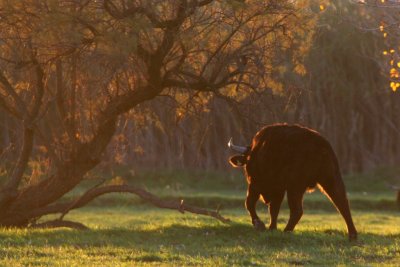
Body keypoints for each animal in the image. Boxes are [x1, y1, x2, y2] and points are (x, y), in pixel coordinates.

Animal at [230, 124, 358, 242]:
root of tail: (320, 144)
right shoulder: (278, 189)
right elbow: (273, 208)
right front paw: (272, 228)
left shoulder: (256, 185)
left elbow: (250, 203)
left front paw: (260, 224)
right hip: (330, 179)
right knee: (342, 203)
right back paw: (352, 235)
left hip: (295, 187)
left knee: (297, 210)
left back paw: (286, 231)